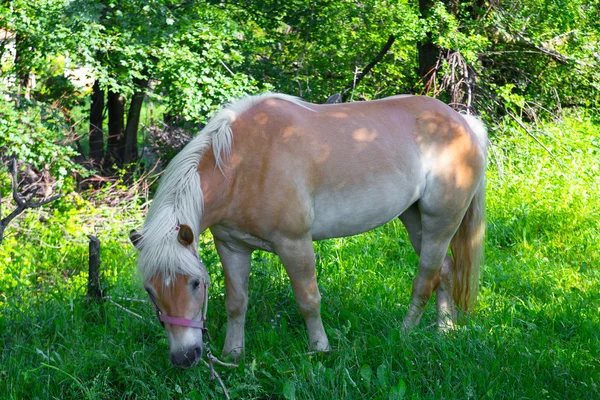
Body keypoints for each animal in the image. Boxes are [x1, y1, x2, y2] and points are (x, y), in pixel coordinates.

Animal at [130, 92, 488, 368]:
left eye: (194, 283)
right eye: (150, 290)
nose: (184, 357)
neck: (244, 162)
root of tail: (463, 122)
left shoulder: (295, 244)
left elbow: (308, 299)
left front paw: (320, 350)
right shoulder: (231, 246)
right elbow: (236, 301)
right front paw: (233, 355)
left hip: (440, 222)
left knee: (425, 279)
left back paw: (404, 334)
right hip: (416, 220)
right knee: (445, 270)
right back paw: (445, 331)